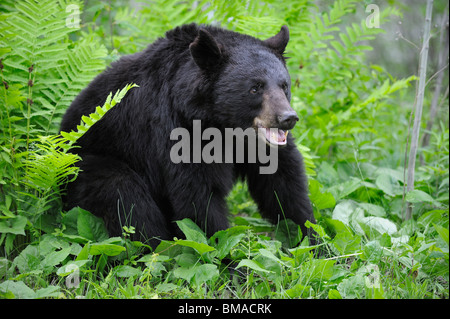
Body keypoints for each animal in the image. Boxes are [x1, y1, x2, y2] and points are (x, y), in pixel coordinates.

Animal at [60, 23, 316, 249]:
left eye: (284, 86)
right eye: (255, 88)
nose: (288, 117)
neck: (225, 125)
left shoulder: (259, 145)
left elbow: (283, 184)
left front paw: (312, 240)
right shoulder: (180, 130)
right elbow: (197, 197)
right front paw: (230, 259)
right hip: (89, 165)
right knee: (125, 197)